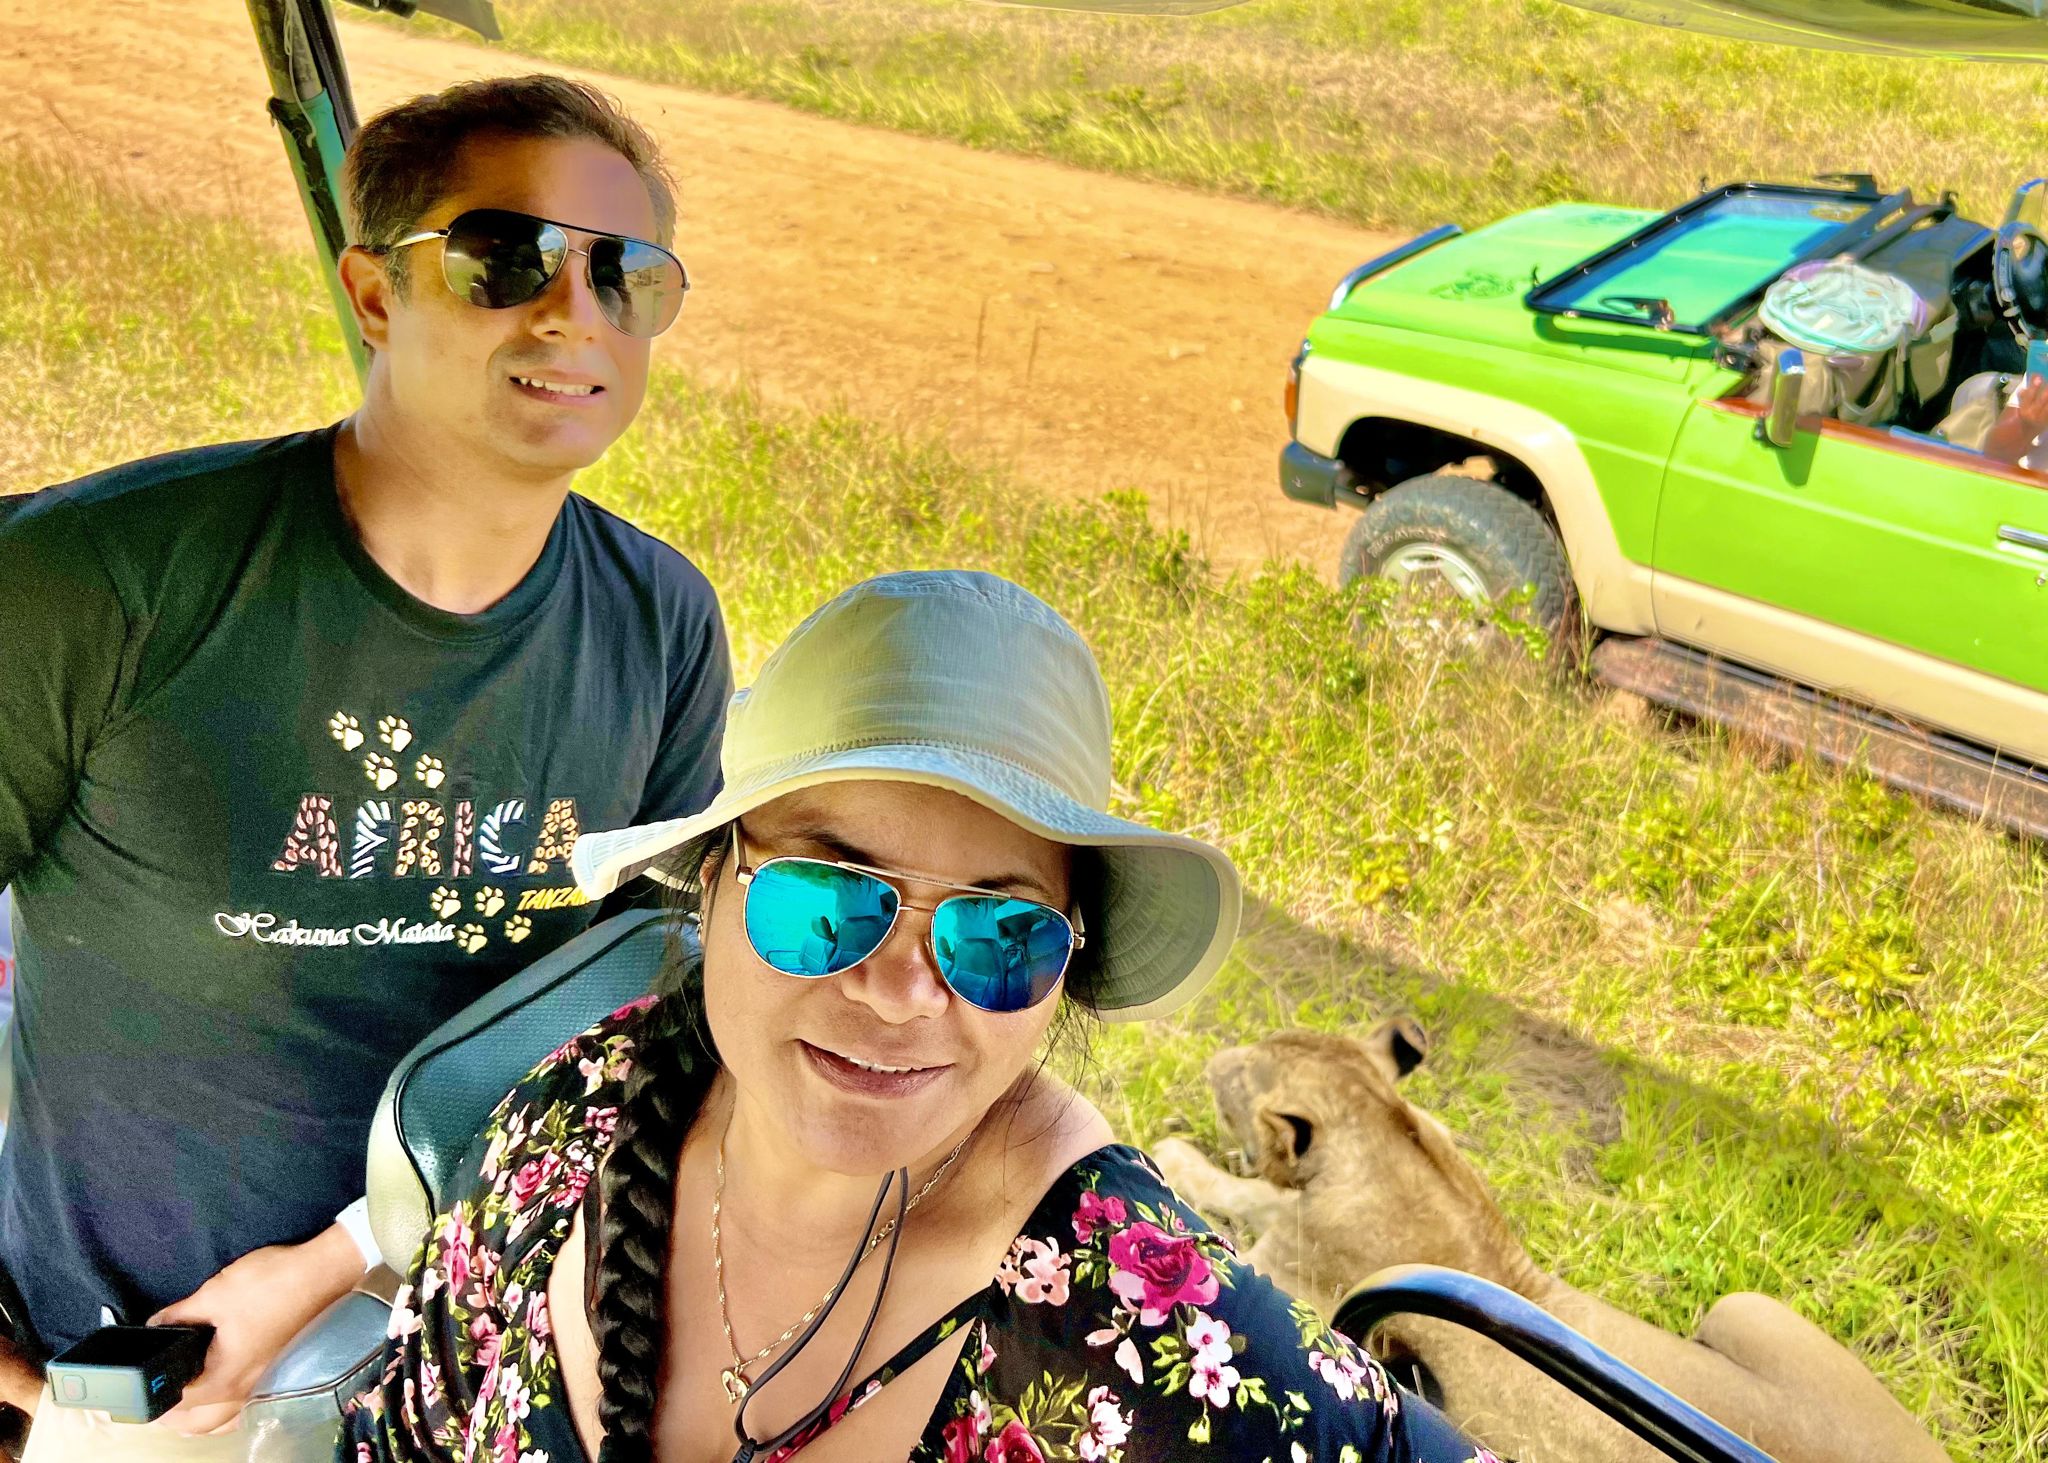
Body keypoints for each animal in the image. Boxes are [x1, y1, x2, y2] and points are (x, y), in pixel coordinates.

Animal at [1151, 1024, 1951, 1463]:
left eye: (1240, 1075)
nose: (1216, 1059)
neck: (1386, 1132)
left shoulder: (1293, 1278)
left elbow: (1233, 1200)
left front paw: (1177, 1154)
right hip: (1745, 1305)